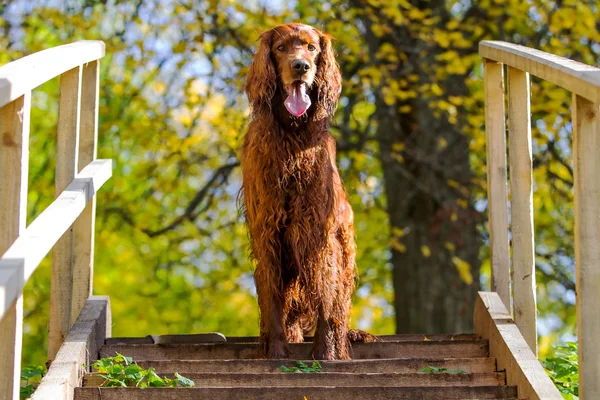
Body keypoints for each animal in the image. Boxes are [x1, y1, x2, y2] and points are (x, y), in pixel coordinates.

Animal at [240, 22, 376, 360]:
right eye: (281, 48)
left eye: (312, 48)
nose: (301, 66)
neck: (292, 134)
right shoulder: (268, 229)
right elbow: (273, 295)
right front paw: (275, 351)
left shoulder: (317, 230)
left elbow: (327, 295)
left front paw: (327, 353)